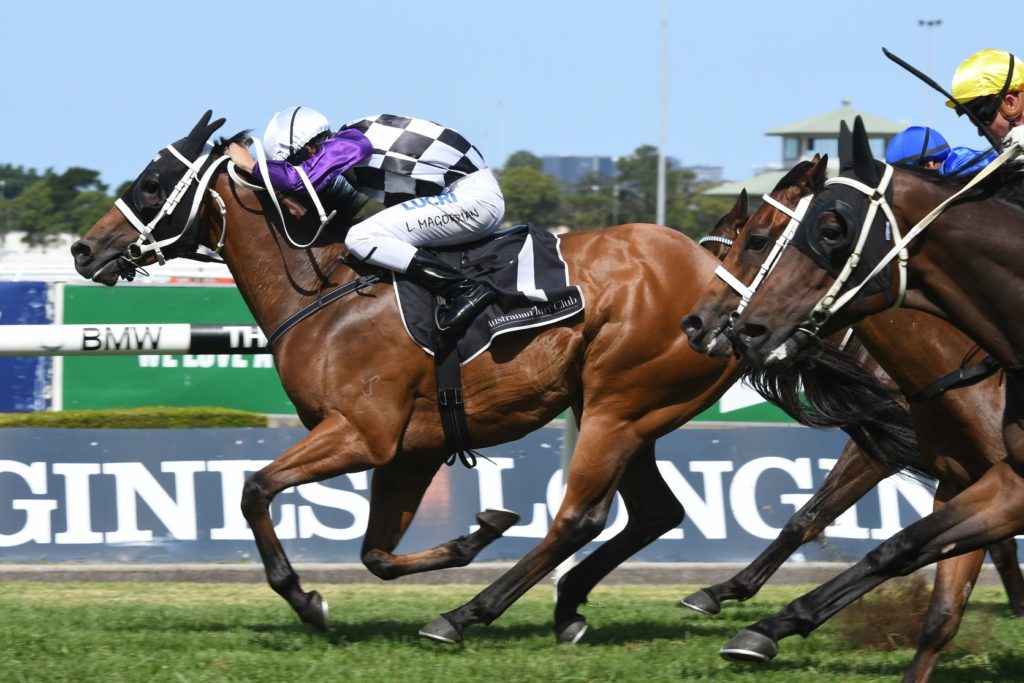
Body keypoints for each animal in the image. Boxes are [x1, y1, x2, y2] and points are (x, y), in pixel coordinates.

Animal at [688, 117, 1024, 674]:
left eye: (755, 240)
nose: (695, 324)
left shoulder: (902, 454)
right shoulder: (942, 468)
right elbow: (809, 517)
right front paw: (725, 592)